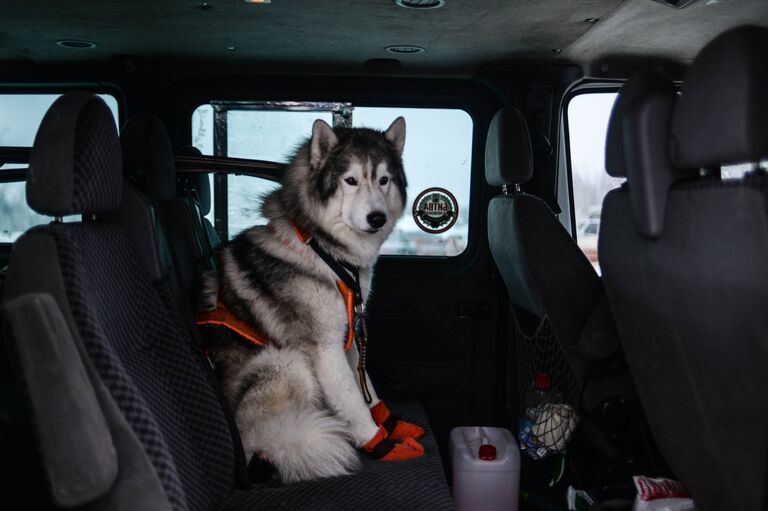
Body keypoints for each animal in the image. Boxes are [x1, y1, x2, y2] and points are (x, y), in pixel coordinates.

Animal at [198, 117, 426, 484]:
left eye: (383, 180)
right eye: (351, 180)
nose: (377, 218)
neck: (322, 250)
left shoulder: (349, 334)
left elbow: (367, 387)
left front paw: (390, 425)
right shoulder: (324, 348)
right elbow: (353, 400)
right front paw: (380, 443)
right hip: (284, 361)